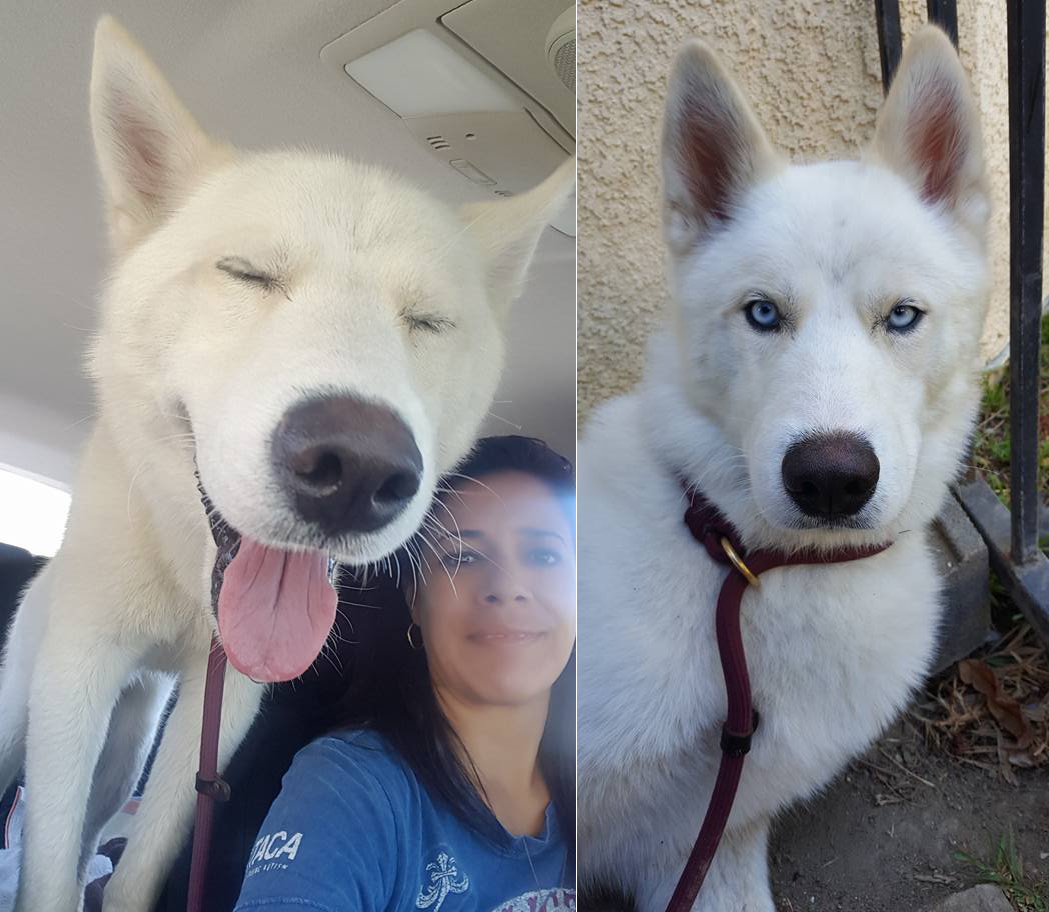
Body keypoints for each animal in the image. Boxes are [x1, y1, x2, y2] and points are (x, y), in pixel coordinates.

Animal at [0, 14, 574, 910]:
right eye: (247, 274)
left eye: (427, 321)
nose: (358, 471)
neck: (185, 577)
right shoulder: (79, 673)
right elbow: (52, 864)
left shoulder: (225, 700)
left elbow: (147, 854)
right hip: (33, 697)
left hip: (134, 736)